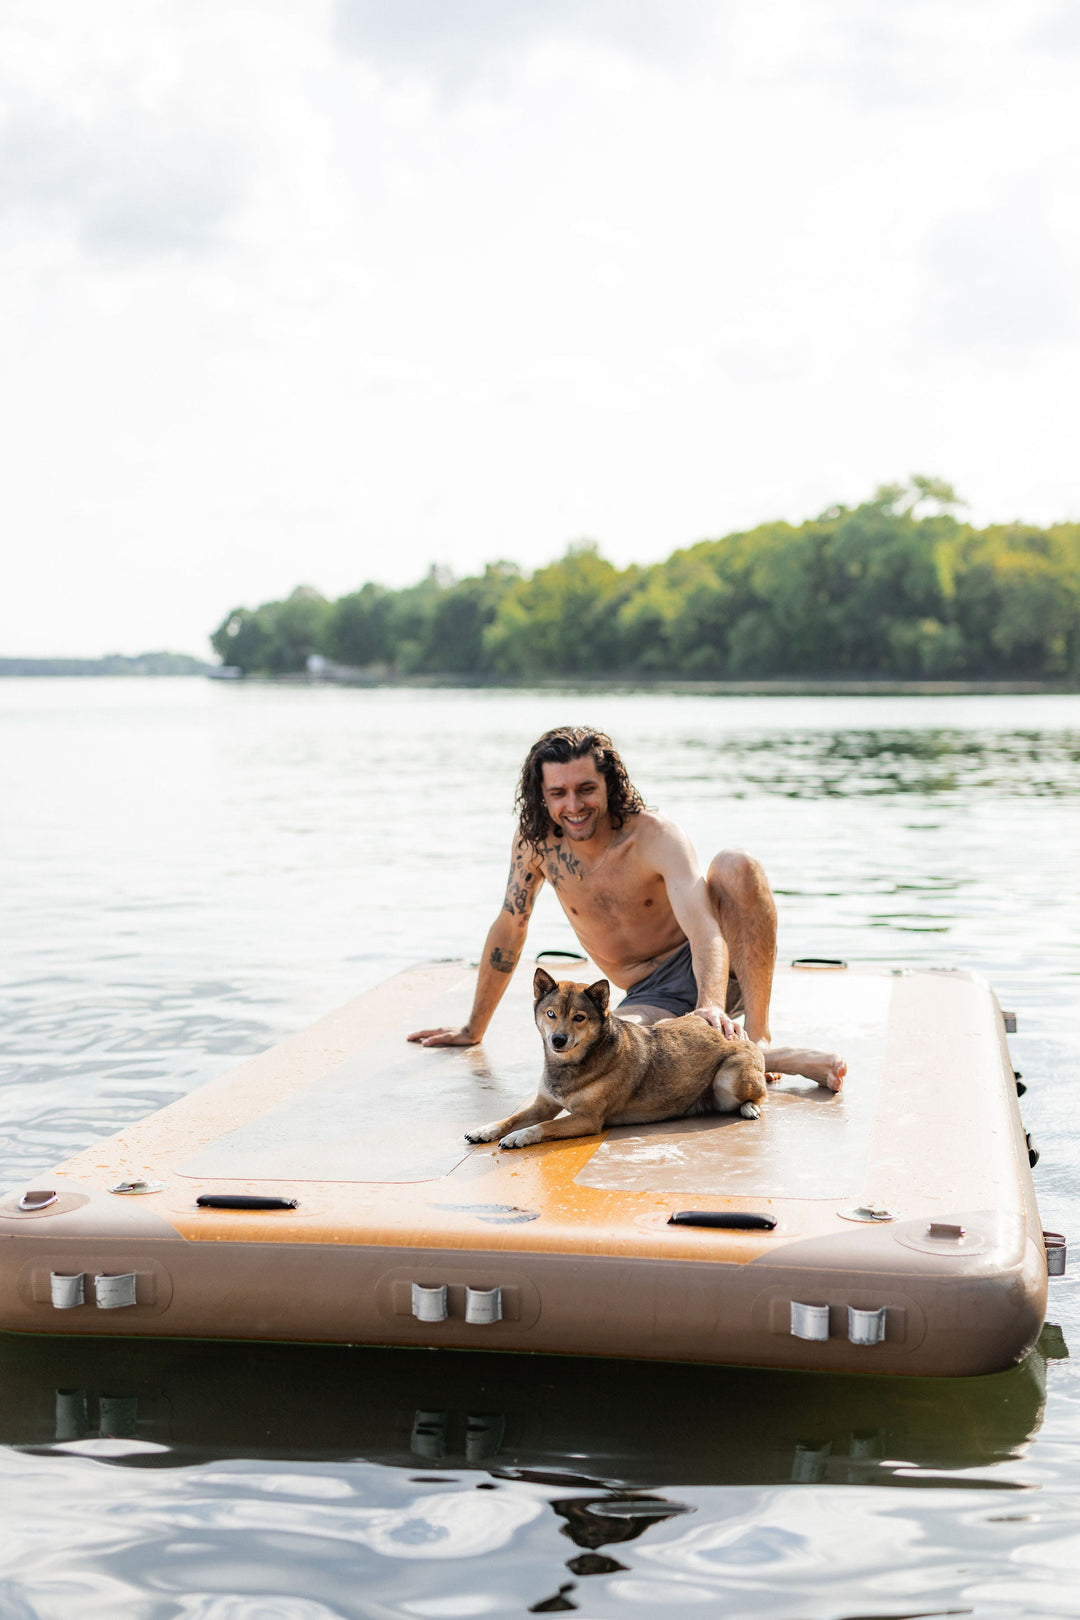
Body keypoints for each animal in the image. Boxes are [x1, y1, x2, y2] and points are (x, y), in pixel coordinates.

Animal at [466, 959, 767, 1153]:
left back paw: (749, 1107)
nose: (558, 1040)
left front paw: (519, 1136)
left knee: (758, 1094)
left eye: (579, 1017)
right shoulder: (544, 1105)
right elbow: (511, 1118)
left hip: (728, 1079)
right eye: (550, 1013)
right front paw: (486, 1130)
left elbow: (542, 1127)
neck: (570, 1065)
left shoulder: (587, 1119)